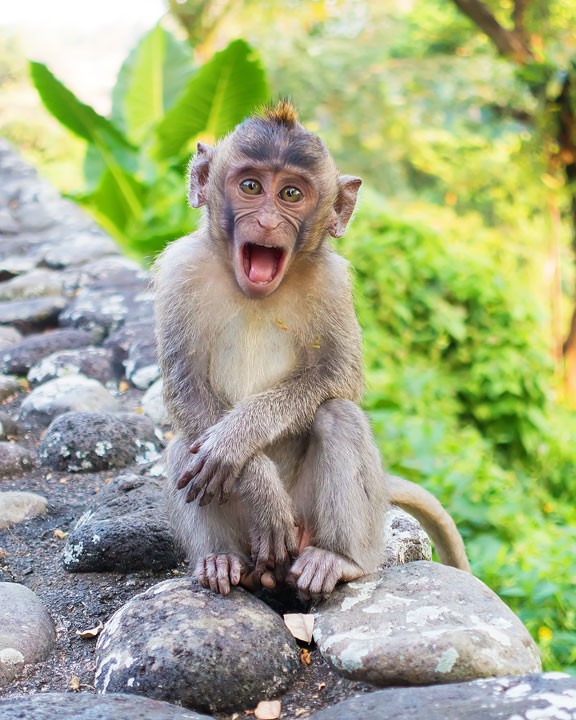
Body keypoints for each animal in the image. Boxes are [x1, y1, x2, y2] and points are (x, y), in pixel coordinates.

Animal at [155, 98, 470, 600]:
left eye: (291, 195)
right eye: (250, 186)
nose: (266, 222)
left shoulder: (332, 282)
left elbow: (338, 377)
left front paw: (235, 439)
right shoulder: (179, 272)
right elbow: (187, 388)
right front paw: (260, 486)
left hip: (318, 518)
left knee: (337, 415)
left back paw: (336, 560)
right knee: (186, 443)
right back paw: (221, 561)